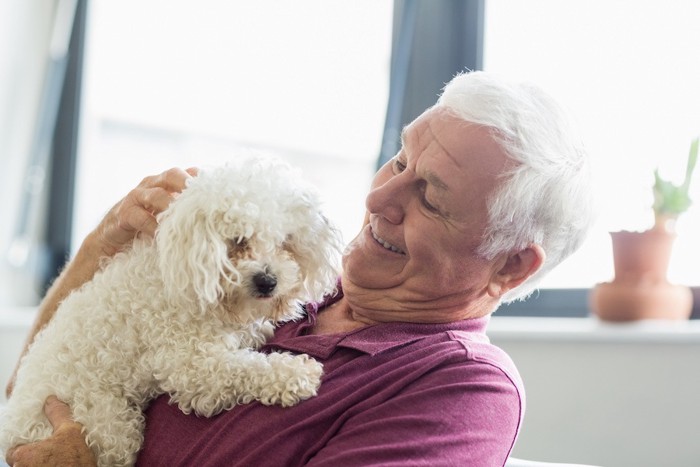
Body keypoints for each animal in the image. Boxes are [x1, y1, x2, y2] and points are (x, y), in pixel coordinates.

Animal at [0, 155, 344, 466]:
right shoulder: (192, 367)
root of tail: (12, 427)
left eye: (286, 241)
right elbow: (245, 369)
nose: (267, 282)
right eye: (238, 240)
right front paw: (295, 373)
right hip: (109, 425)